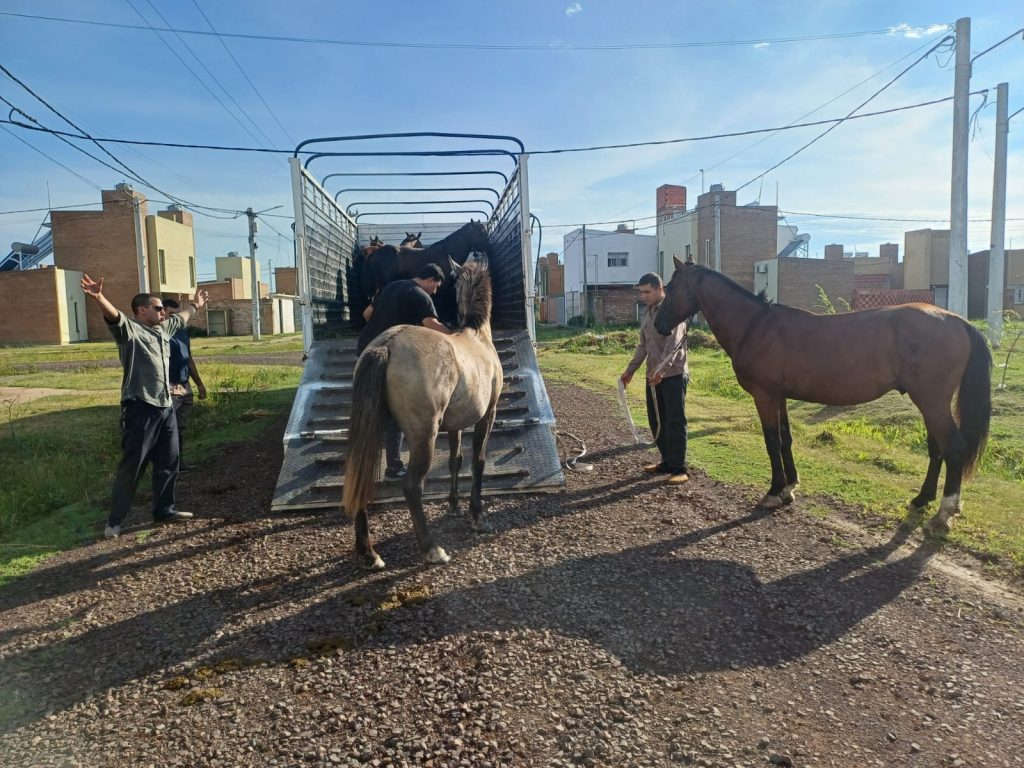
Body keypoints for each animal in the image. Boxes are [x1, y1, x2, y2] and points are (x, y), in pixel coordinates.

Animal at [343, 256, 503, 569]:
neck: (477, 337)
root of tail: (386, 345)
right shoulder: (486, 416)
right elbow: (477, 461)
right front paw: (477, 516)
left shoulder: (456, 424)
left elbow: (455, 460)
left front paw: (454, 506)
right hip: (423, 435)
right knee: (412, 486)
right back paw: (432, 549)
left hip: (373, 429)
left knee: (362, 477)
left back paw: (368, 553)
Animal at [654, 256, 991, 536]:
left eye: (670, 287)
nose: (658, 325)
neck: (756, 326)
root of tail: (958, 321)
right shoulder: (779, 396)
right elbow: (786, 440)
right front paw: (790, 487)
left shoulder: (765, 396)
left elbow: (772, 441)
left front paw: (774, 492)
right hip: (929, 403)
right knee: (937, 450)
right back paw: (922, 499)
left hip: (932, 402)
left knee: (954, 448)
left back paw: (944, 514)